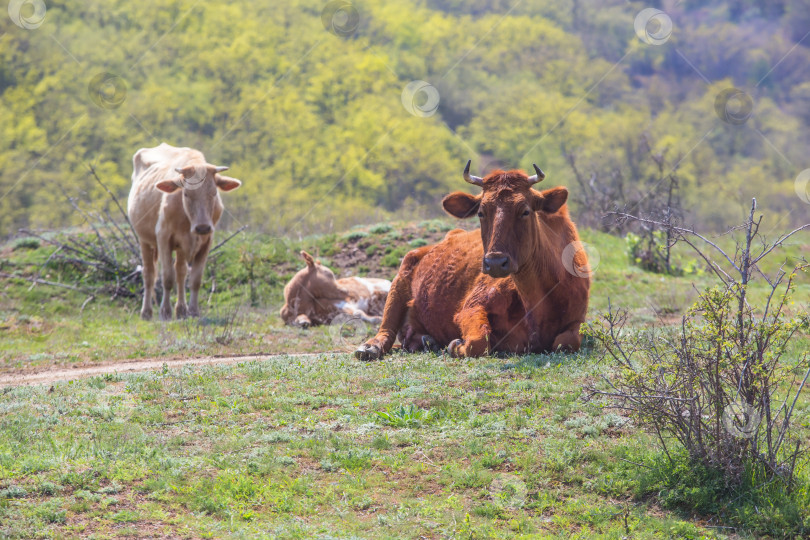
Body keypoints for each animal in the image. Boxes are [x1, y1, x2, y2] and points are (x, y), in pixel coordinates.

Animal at [126, 142, 240, 320]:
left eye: (214, 192)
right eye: (186, 193)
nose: (202, 227)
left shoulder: (206, 241)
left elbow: (195, 279)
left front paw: (193, 311)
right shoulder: (163, 237)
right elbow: (167, 278)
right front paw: (165, 312)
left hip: (180, 248)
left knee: (180, 271)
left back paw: (181, 310)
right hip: (144, 240)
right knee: (149, 274)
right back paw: (146, 312)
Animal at [354, 162, 588, 360]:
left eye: (525, 211)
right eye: (481, 213)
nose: (495, 262)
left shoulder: (577, 320)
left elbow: (567, 341)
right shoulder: (471, 307)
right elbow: (478, 342)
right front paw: (455, 345)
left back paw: (427, 340)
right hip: (398, 284)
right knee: (385, 330)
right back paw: (369, 348)